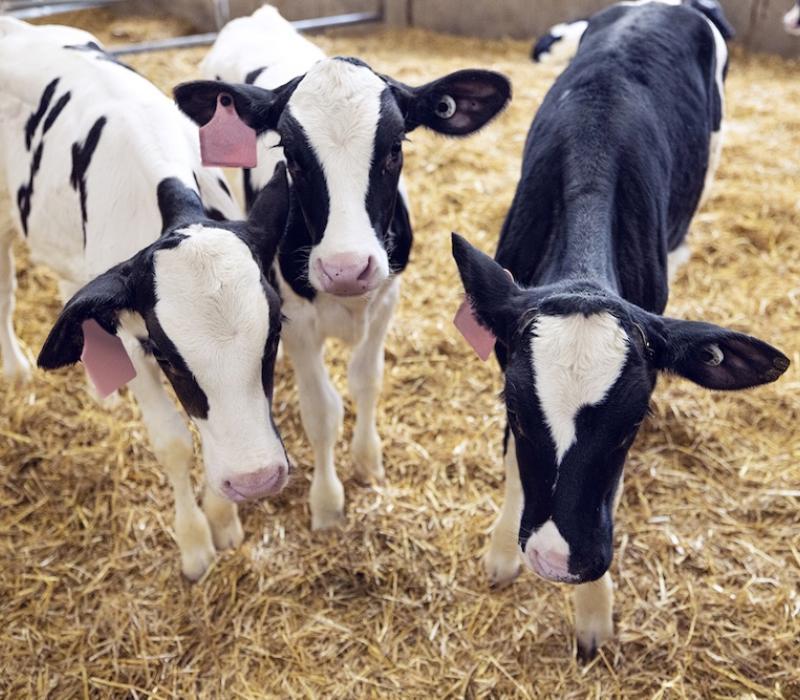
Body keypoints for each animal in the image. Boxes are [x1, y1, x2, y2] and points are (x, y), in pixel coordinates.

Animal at [0, 18, 291, 580]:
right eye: (168, 358)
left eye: (273, 338)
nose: (256, 480)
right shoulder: (133, 340)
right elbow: (175, 443)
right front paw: (196, 544)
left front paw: (224, 520)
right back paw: (18, 368)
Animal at [176, 6, 512, 530]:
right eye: (291, 156)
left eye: (395, 148)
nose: (346, 268)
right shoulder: (295, 319)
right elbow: (320, 411)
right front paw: (327, 501)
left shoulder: (387, 297)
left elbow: (365, 380)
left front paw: (368, 460)